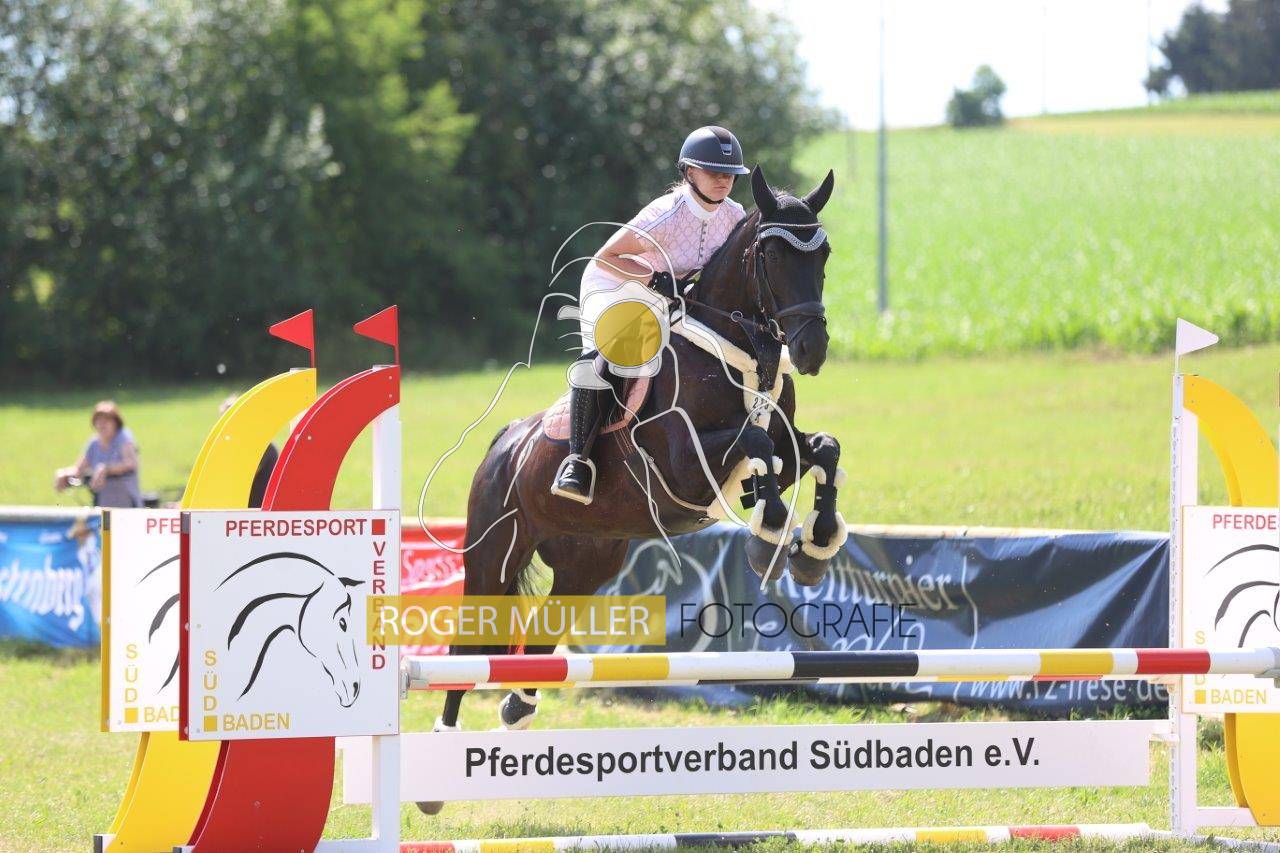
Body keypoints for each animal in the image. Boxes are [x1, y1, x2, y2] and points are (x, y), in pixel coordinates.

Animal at [419, 166, 847, 812]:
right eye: (772, 255)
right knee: (469, 650)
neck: (738, 349)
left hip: (588, 563)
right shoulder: (681, 464)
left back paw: (518, 704)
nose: (812, 350)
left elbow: (820, 449)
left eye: (822, 253)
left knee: (542, 636)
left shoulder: (783, 440)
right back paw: (440, 765)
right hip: (493, 557)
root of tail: (505, 443)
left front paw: (814, 547)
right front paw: (770, 536)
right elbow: (758, 445)